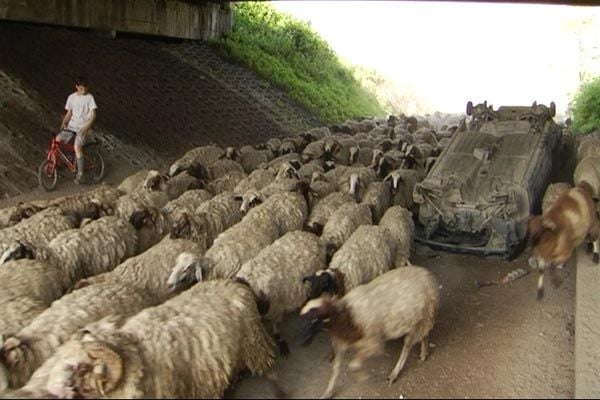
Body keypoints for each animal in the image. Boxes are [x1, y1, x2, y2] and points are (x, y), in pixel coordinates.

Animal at [300, 264, 440, 398]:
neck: (347, 315)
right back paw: (424, 353)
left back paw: (394, 373)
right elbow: (336, 369)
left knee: (407, 346)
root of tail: (426, 273)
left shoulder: (374, 345)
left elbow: (353, 365)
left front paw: (362, 377)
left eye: (314, 320)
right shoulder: (341, 343)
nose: (302, 341)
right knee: (424, 335)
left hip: (421, 317)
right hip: (421, 319)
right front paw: (327, 392)